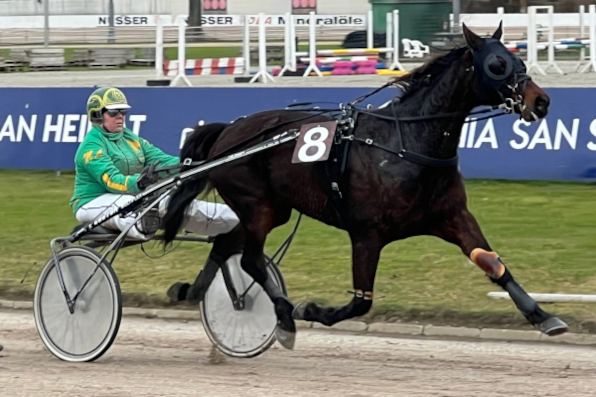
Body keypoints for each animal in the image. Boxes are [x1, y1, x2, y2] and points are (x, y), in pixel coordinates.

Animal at [163, 23, 568, 348]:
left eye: (520, 61)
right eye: (497, 65)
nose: (541, 101)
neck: (407, 142)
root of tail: (229, 131)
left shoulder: (452, 216)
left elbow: (493, 264)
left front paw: (544, 317)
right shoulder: (366, 234)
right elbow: (362, 300)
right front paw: (312, 310)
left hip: (273, 210)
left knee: (225, 244)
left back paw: (195, 292)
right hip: (256, 205)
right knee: (250, 260)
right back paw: (285, 315)